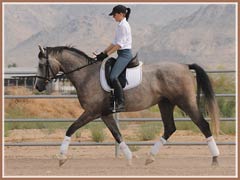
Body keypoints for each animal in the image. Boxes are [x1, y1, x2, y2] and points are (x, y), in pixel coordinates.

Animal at [34, 45, 220, 167]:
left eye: (42, 65)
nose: (38, 86)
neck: (86, 75)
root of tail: (185, 66)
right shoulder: (105, 113)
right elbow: (117, 135)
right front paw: (130, 159)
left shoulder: (92, 112)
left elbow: (71, 129)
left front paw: (61, 158)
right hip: (165, 104)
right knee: (169, 128)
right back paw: (150, 157)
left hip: (185, 102)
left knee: (203, 125)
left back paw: (215, 159)